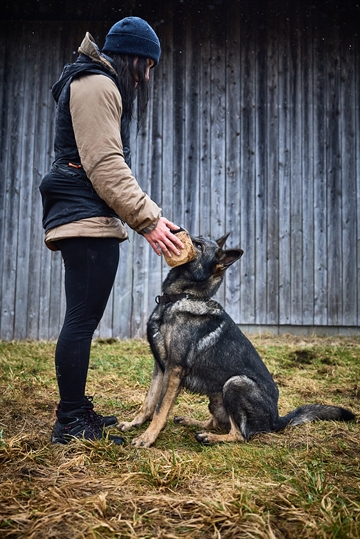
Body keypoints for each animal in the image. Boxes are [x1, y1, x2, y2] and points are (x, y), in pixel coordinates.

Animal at [117, 232, 354, 448]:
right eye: (195, 237)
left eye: (199, 246)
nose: (175, 230)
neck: (181, 298)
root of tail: (277, 420)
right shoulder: (160, 367)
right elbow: (148, 402)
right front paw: (134, 424)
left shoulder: (174, 369)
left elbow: (160, 409)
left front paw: (148, 437)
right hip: (216, 398)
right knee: (218, 423)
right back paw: (192, 422)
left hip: (235, 383)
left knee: (240, 434)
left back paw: (210, 438)